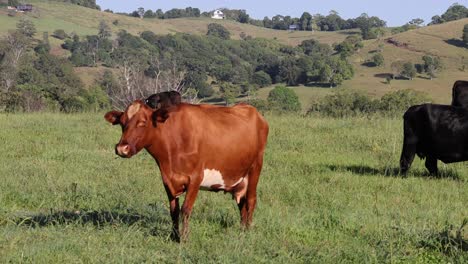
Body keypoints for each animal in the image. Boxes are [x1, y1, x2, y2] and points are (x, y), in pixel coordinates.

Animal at [104, 99, 268, 241]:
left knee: (251, 200)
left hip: (255, 167)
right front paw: (174, 236)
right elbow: (174, 211)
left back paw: (248, 231)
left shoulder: (195, 178)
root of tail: (251, 109)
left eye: (142, 123)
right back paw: (242, 229)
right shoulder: (168, 180)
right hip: (239, 178)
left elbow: (185, 209)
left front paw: (184, 238)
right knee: (242, 203)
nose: (121, 148)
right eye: (122, 123)